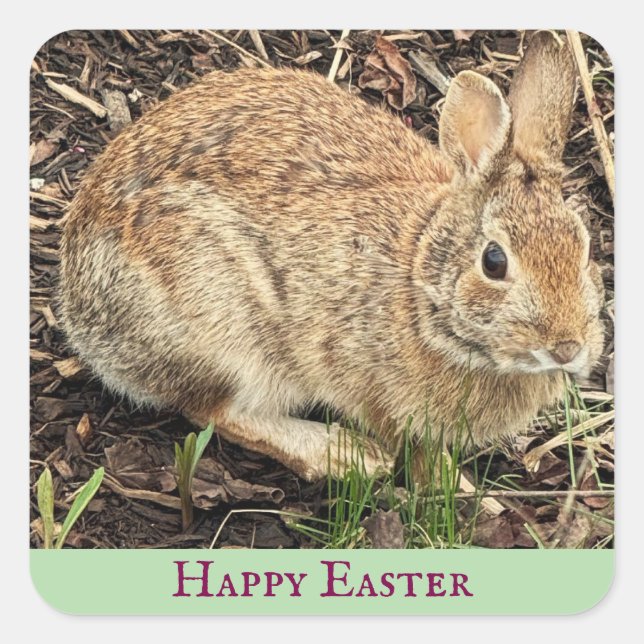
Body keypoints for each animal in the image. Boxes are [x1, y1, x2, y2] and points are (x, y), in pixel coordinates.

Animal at [59, 30, 605, 482]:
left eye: (583, 247)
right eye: (494, 262)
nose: (566, 347)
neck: (420, 284)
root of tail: (79, 315)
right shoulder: (373, 391)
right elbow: (413, 451)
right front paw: (450, 485)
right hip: (221, 328)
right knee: (216, 413)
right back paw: (343, 455)